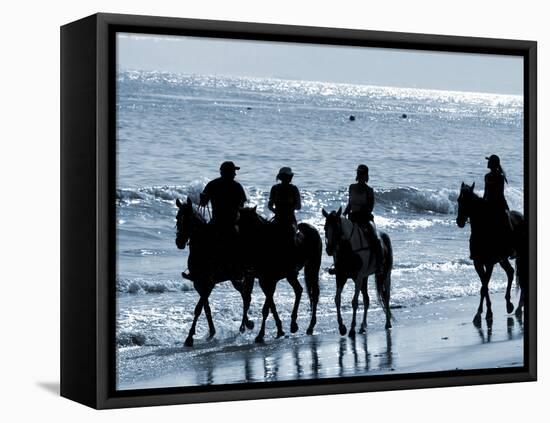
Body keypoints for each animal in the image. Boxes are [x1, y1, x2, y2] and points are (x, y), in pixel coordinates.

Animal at [176, 199, 256, 348]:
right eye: (177, 218)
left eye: (187, 220)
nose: (179, 242)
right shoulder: (199, 283)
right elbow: (206, 308)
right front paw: (211, 332)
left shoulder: (209, 282)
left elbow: (198, 308)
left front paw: (189, 337)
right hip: (235, 278)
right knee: (244, 294)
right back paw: (247, 324)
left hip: (246, 275)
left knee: (246, 296)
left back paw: (243, 326)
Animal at [238, 208, 324, 344]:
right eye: (238, 222)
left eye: (247, 224)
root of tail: (312, 228)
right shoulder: (263, 281)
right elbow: (271, 305)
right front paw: (279, 329)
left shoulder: (270, 281)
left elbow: (266, 308)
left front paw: (260, 335)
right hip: (291, 275)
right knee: (299, 290)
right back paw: (294, 324)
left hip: (313, 266)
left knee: (314, 293)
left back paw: (310, 326)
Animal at [324, 207, 396, 336]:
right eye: (325, 228)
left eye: (337, 229)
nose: (329, 250)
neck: (348, 249)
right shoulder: (340, 277)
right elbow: (337, 299)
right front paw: (342, 327)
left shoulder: (358, 277)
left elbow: (354, 302)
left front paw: (352, 328)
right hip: (365, 278)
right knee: (366, 300)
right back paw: (363, 326)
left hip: (385, 274)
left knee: (386, 296)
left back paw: (388, 323)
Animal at [454, 181, 528, 326]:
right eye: (459, 200)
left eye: (468, 201)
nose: (459, 221)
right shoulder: (478, 263)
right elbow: (484, 286)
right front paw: (484, 312)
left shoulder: (489, 263)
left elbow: (484, 287)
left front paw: (482, 314)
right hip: (503, 258)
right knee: (511, 272)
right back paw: (510, 304)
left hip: (521, 256)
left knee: (521, 277)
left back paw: (518, 307)